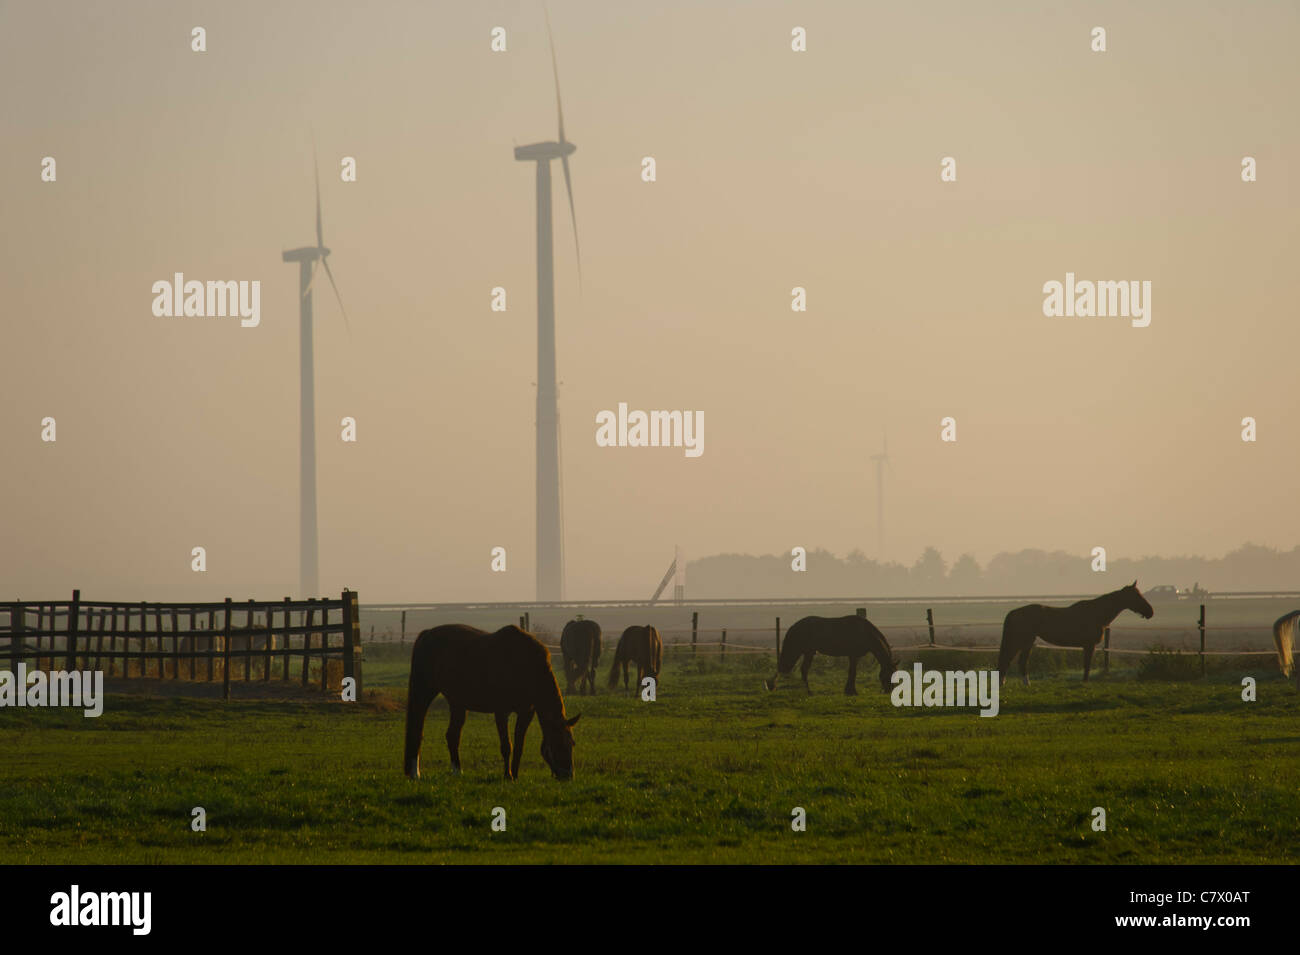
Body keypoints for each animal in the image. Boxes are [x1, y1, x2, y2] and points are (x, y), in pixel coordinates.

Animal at [397, 623, 577, 779]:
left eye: (572, 744)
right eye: (559, 743)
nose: (568, 775)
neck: (524, 664)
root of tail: (427, 634)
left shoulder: (526, 712)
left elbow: (519, 746)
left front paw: (515, 774)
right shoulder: (501, 712)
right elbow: (507, 746)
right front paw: (508, 775)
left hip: (457, 703)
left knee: (452, 736)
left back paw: (457, 771)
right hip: (423, 693)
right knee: (416, 730)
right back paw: (415, 773)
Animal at [759, 615, 894, 696]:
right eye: (889, 675)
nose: (889, 690)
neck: (864, 631)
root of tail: (794, 627)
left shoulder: (854, 657)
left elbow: (852, 672)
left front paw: (849, 691)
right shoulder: (853, 655)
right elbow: (852, 672)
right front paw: (851, 691)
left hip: (807, 653)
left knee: (798, 669)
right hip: (803, 652)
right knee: (797, 669)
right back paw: (807, 691)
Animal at [998, 579, 1154, 686]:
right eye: (1136, 596)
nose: (1150, 612)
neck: (1097, 613)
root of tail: (1014, 612)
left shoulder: (1087, 646)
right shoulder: (1089, 646)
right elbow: (1087, 665)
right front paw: (1085, 683)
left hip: (1027, 642)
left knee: (1019, 662)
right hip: (1022, 641)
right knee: (1009, 660)